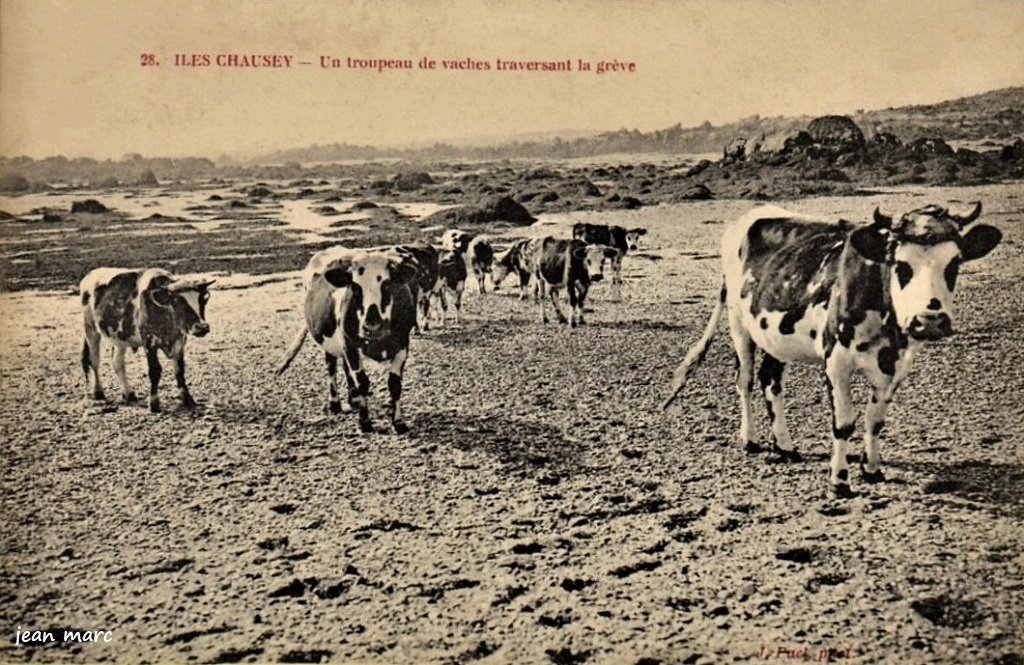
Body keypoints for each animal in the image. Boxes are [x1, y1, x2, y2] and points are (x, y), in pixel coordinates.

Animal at [80, 266, 215, 411]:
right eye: (178, 302)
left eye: (202, 300)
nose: (202, 327)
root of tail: (91, 274)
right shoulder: (149, 343)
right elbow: (155, 371)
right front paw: (154, 403)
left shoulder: (179, 342)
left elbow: (180, 371)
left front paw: (187, 399)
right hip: (90, 329)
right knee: (94, 361)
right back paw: (98, 391)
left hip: (119, 337)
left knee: (117, 363)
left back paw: (129, 394)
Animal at [276, 245, 419, 432]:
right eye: (355, 287)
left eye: (387, 285)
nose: (372, 326)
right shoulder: (350, 345)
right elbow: (362, 383)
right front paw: (364, 422)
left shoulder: (402, 345)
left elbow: (394, 385)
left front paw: (398, 422)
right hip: (329, 343)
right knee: (332, 368)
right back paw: (335, 403)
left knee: (345, 368)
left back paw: (353, 399)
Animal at [659, 201, 1003, 497]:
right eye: (901, 264)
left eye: (954, 263)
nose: (930, 320)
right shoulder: (836, 361)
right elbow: (843, 423)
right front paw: (839, 481)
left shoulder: (897, 363)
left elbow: (875, 419)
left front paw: (871, 469)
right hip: (738, 322)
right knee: (744, 381)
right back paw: (750, 440)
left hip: (773, 334)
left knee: (770, 380)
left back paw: (783, 445)